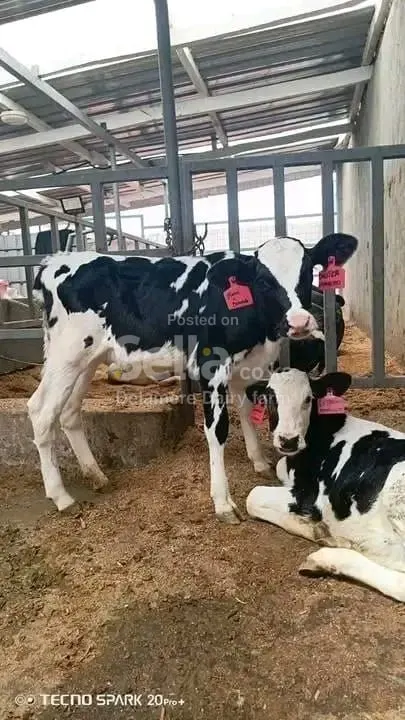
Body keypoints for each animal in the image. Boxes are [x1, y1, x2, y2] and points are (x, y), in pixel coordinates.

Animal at [28, 233, 357, 523]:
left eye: (308, 271)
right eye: (264, 280)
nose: (299, 322)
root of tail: (54, 261)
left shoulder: (244, 367)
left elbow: (246, 411)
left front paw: (259, 461)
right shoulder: (211, 365)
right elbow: (218, 430)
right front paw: (223, 502)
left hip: (88, 359)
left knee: (67, 412)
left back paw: (96, 475)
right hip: (67, 355)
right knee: (42, 412)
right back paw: (61, 496)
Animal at [245, 368, 405, 601]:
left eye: (308, 398)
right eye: (271, 398)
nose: (288, 440)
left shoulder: (309, 495)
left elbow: (252, 496)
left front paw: (315, 528)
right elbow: (279, 467)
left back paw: (325, 557)